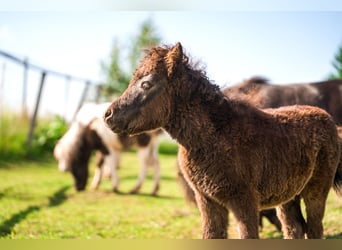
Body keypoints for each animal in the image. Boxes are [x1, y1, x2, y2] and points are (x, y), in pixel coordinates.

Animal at [103, 42, 342, 238]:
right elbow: (211, 235)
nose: (108, 115)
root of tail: (329, 120)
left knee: (314, 229)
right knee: (294, 228)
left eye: (146, 84)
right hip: (288, 196)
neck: (214, 136)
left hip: (316, 190)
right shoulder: (208, 201)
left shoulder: (244, 202)